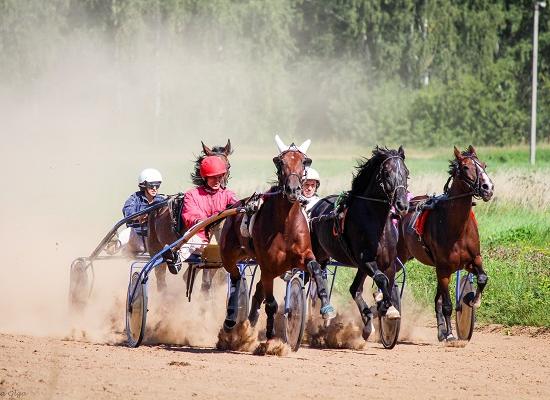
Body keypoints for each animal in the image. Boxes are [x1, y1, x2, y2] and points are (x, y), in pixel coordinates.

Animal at [220, 136, 336, 340]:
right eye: (280, 162)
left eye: (304, 161)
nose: (293, 189)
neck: (285, 225)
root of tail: (236, 206)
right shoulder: (268, 265)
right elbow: (271, 303)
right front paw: (270, 333)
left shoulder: (302, 256)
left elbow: (314, 268)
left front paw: (326, 308)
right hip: (229, 254)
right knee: (236, 277)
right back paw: (231, 319)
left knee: (255, 288)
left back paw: (250, 319)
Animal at [310, 147, 410, 340]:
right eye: (387, 172)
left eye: (406, 173)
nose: (402, 205)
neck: (375, 221)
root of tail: (316, 206)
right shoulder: (365, 260)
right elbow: (382, 279)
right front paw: (384, 307)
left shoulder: (388, 262)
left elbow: (386, 282)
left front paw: (383, 308)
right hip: (317, 252)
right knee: (316, 270)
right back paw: (326, 309)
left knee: (353, 289)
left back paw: (368, 322)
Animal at [396, 145, 496, 342]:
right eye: (465, 167)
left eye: (484, 165)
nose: (488, 187)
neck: (456, 227)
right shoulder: (443, 268)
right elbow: (447, 305)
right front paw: (450, 334)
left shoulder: (473, 260)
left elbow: (482, 278)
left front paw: (472, 300)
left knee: (438, 299)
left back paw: (441, 331)